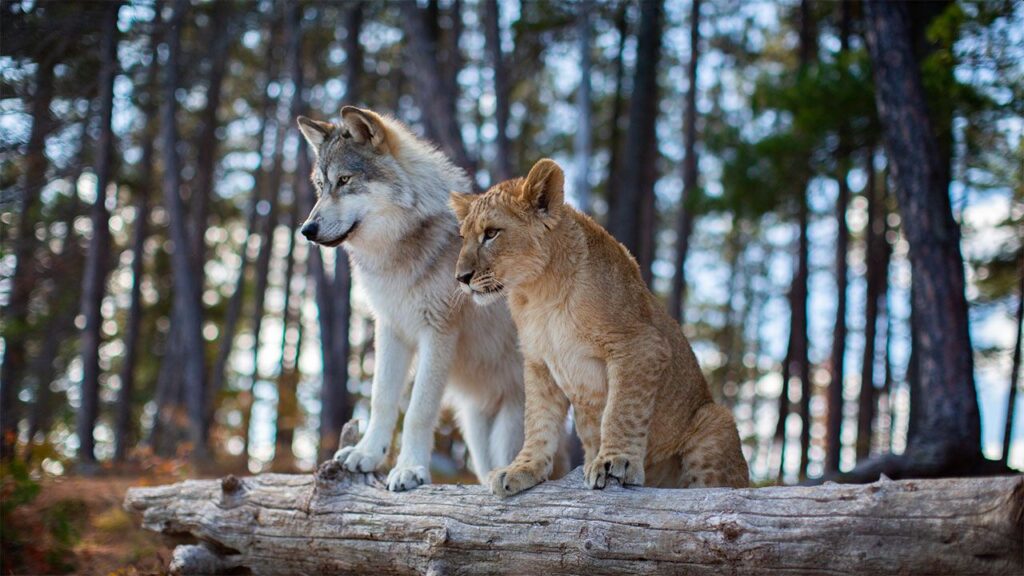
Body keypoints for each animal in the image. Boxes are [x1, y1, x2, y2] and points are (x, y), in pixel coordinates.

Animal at [296, 106, 538, 491]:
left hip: (510, 428)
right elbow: (381, 399)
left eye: (345, 180)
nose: (306, 230)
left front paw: (410, 469)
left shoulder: (437, 332)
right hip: (477, 433)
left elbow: (417, 411)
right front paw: (367, 454)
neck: (395, 255)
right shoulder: (390, 329)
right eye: (321, 186)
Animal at [450, 158, 749, 497]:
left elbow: (621, 410)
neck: (539, 293)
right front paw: (521, 469)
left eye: (491, 233)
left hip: (716, 419)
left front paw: (614, 462)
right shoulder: (538, 363)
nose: (461, 277)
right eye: (463, 238)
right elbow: (538, 421)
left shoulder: (641, 345)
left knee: (714, 489)